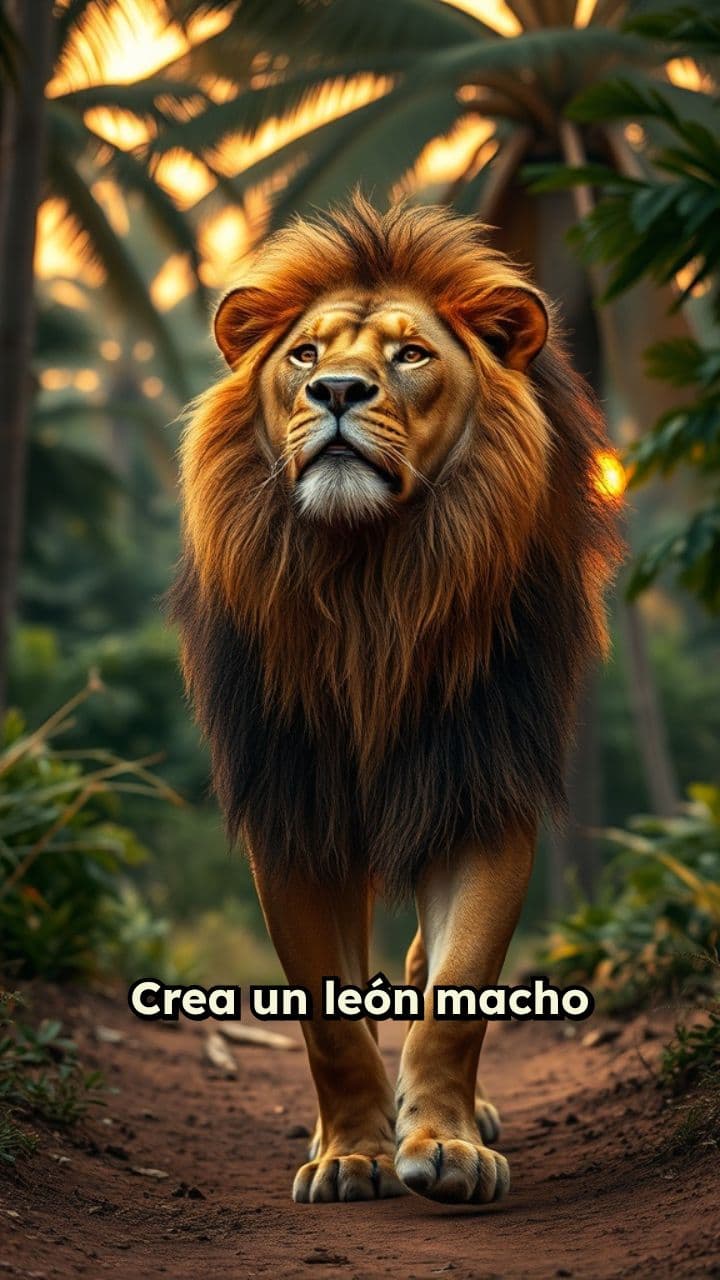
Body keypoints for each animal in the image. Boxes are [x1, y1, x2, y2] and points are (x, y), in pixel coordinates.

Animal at [170, 195, 620, 1205]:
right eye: (304, 355)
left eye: (410, 356)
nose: (337, 391)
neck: (370, 583)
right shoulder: (291, 804)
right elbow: (331, 1024)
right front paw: (350, 1155)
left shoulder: (483, 782)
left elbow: (457, 993)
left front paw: (443, 1145)